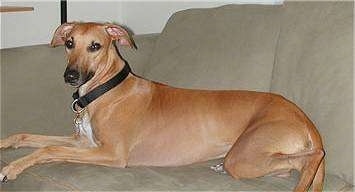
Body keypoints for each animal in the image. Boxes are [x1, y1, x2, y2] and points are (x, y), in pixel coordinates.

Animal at [0, 22, 326, 190]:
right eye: (69, 43)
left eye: (95, 46)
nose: (70, 77)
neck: (107, 89)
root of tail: (303, 117)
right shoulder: (83, 142)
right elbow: (28, 137)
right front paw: (5, 144)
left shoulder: (111, 154)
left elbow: (48, 150)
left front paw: (12, 168)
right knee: (288, 166)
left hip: (246, 155)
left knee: (309, 159)